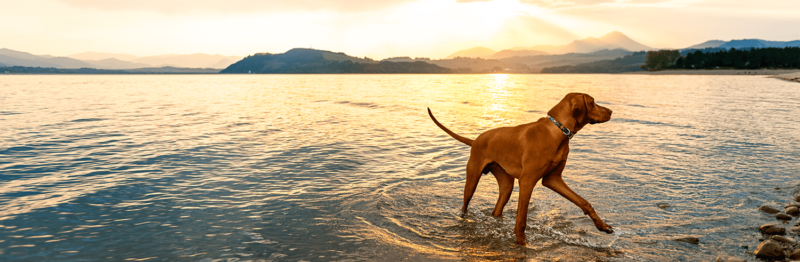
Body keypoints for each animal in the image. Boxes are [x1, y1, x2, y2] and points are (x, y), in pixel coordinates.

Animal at [428, 92, 616, 246]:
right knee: (465, 204)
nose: (611, 111)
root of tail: (475, 140)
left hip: (506, 185)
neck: (557, 132)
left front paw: (602, 226)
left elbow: (583, 202)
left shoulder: (553, 179)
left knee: (496, 210)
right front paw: (522, 243)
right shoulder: (527, 181)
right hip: (472, 178)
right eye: (592, 102)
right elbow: (521, 220)